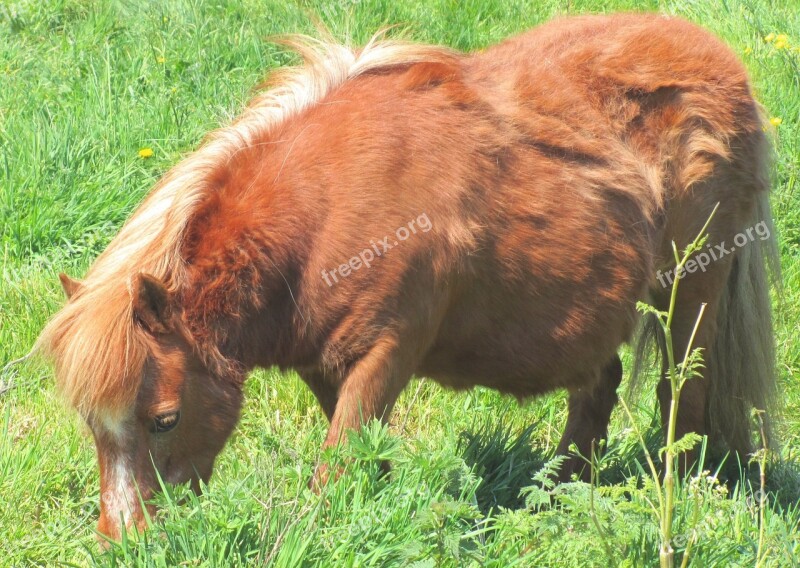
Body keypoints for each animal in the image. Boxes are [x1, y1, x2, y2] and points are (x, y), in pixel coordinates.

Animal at [34, 11, 780, 540]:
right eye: (93, 427)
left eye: (163, 420)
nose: (122, 542)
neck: (321, 207)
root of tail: (725, 69)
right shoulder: (326, 364)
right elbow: (364, 457)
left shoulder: (387, 348)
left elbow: (336, 468)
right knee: (598, 391)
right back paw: (559, 497)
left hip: (693, 293)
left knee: (682, 398)